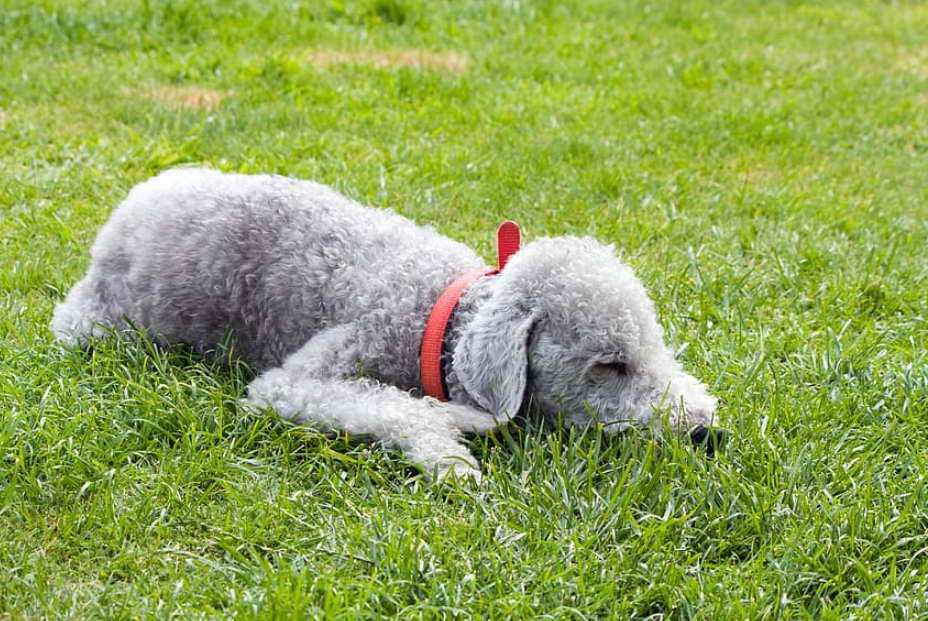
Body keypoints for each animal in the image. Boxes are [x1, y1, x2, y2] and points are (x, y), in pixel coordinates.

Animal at [52, 168, 724, 480]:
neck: (444, 315)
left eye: (657, 348)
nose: (704, 433)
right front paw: (452, 448)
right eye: (610, 364)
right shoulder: (295, 381)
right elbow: (397, 407)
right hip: (97, 323)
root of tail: (128, 207)